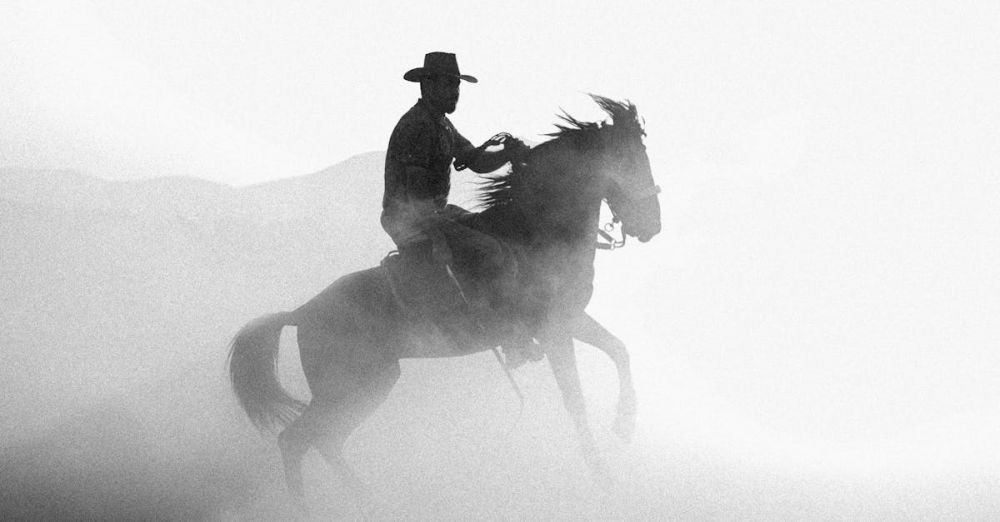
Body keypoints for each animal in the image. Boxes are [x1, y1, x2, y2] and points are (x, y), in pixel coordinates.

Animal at [228, 94, 664, 504]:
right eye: (629, 159)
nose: (653, 224)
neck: (533, 231)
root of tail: (302, 313)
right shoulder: (554, 332)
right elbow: (576, 401)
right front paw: (603, 477)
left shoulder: (571, 319)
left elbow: (619, 350)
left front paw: (624, 424)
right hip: (350, 386)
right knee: (298, 439)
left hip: (368, 385)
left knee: (321, 440)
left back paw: (365, 500)